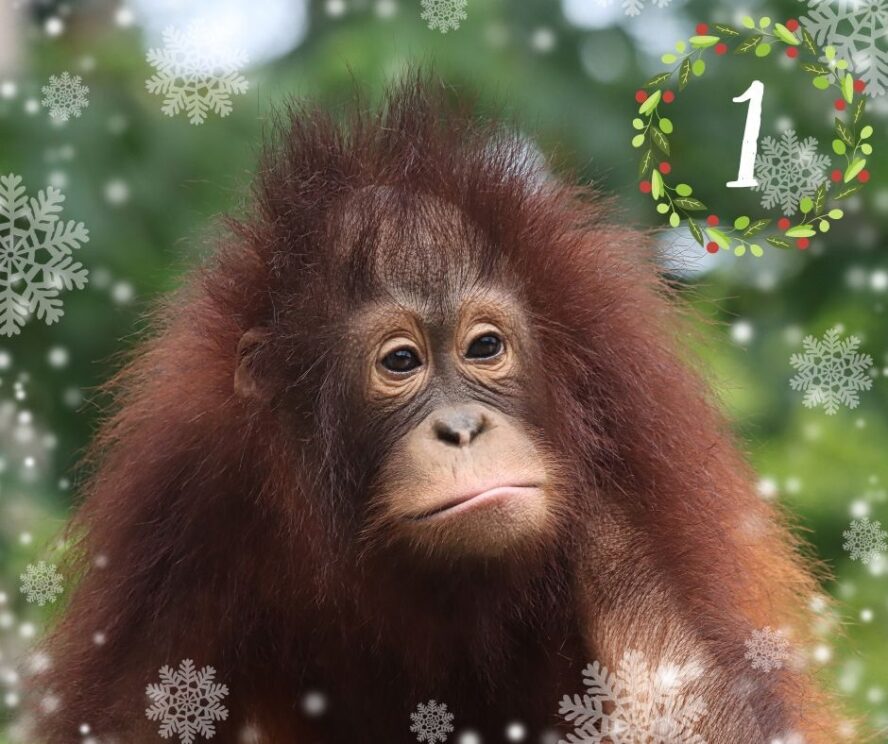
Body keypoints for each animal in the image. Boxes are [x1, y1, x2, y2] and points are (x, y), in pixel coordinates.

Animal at [28, 74, 844, 743]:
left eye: (485, 347)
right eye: (400, 362)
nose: (462, 427)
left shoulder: (622, 454)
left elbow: (695, 705)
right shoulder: (186, 505)